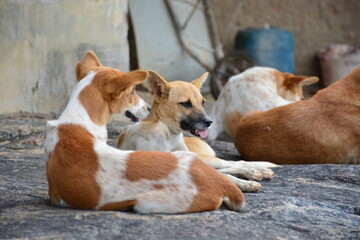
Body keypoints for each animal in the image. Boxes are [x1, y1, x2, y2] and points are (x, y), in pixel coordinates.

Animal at [116, 71, 278, 191]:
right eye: (186, 104)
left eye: (203, 102)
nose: (209, 122)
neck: (167, 134)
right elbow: (223, 176)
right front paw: (245, 182)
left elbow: (226, 174)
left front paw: (246, 182)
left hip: (204, 159)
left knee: (236, 163)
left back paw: (257, 171)